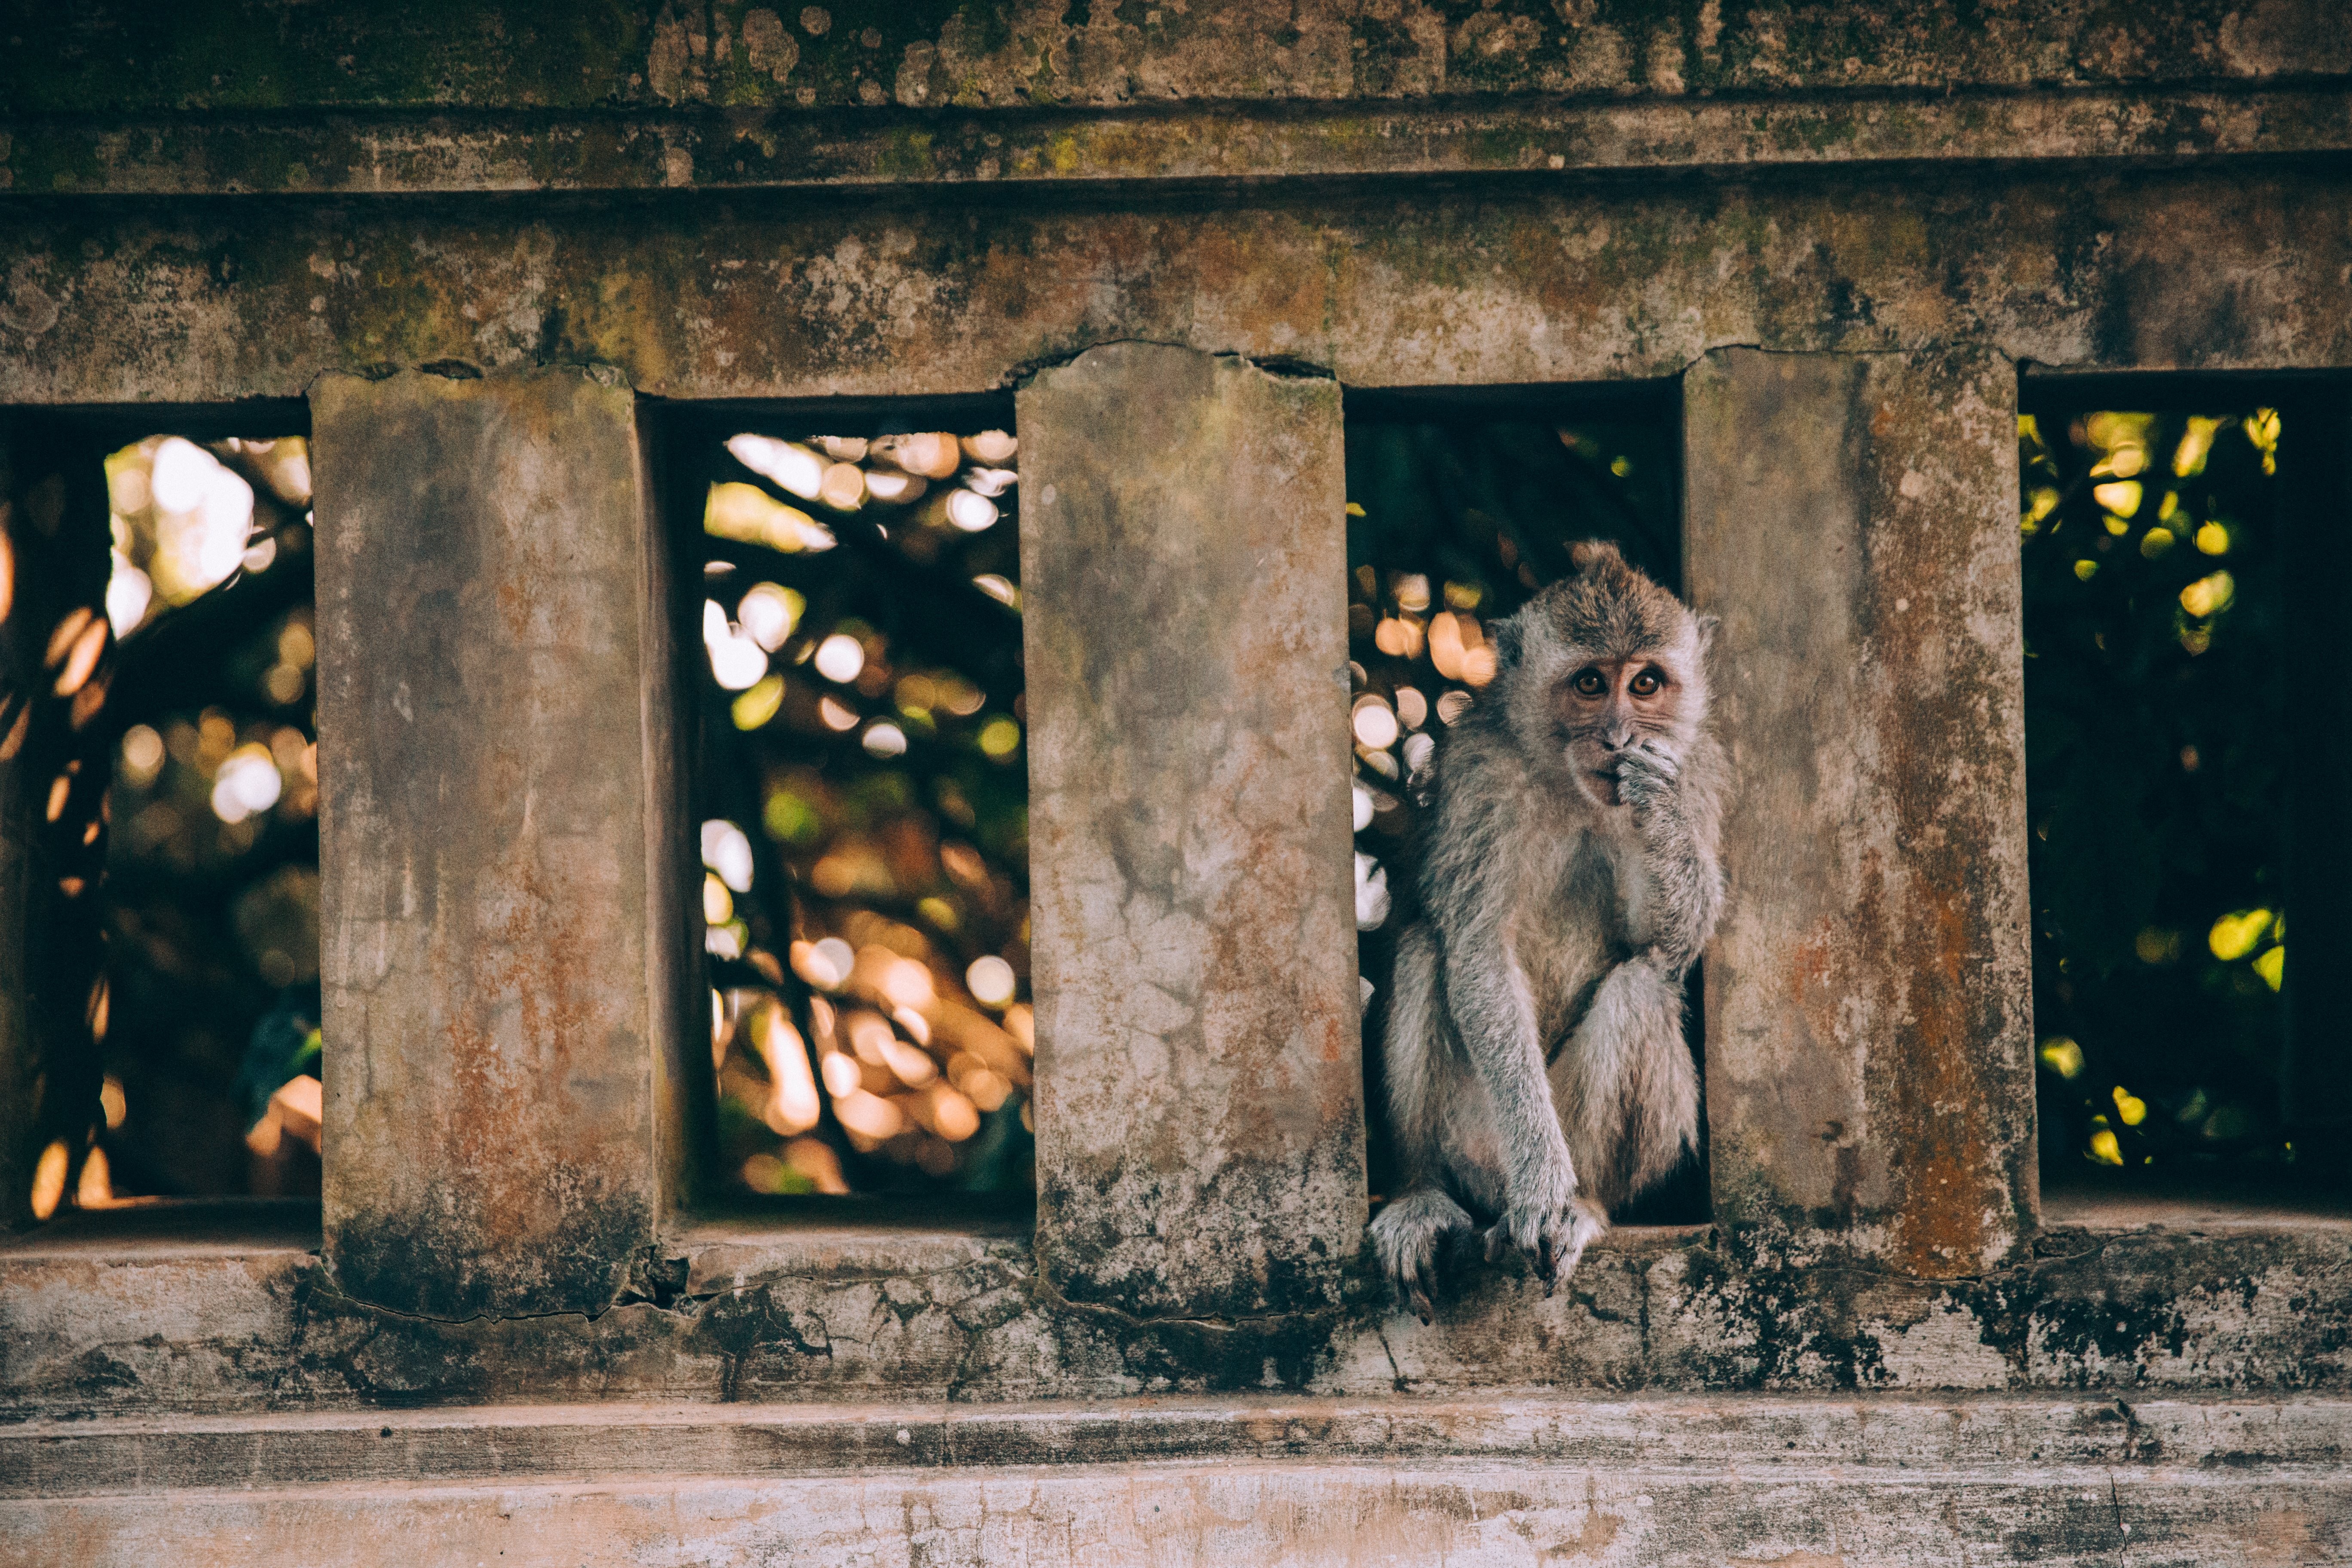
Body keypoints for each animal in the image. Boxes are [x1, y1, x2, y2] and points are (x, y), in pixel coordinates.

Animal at [1364, 540, 1731, 1316]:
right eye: (1590, 683)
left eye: (1646, 683)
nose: (1620, 738)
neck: (1571, 785)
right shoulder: (1479, 776)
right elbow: (1478, 953)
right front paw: (1541, 1184)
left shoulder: (1699, 772)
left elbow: (1662, 944)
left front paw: (1653, 806)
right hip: (1476, 1142)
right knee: (1425, 950)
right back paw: (1425, 1194)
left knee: (1639, 988)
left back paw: (1584, 1205)